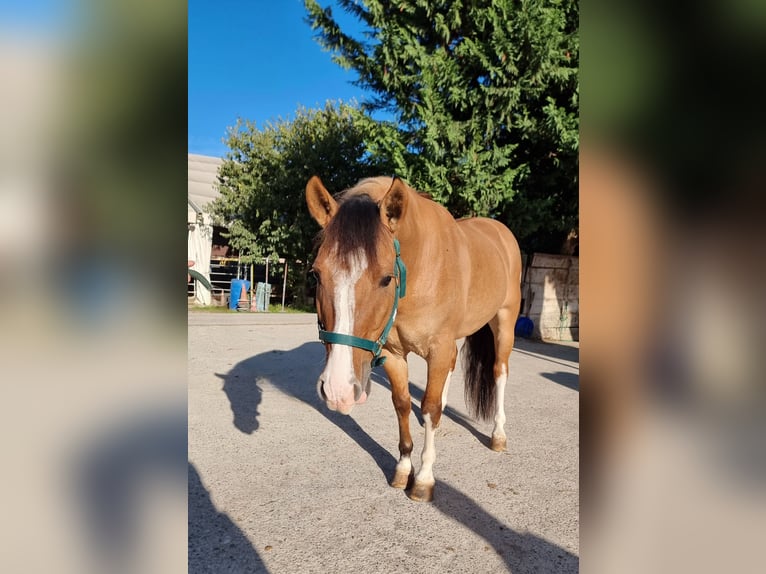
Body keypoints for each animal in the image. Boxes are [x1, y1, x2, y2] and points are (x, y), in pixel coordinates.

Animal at [306, 175, 522, 502]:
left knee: (499, 372)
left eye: (386, 278)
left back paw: (498, 434)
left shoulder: (438, 347)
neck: (420, 269)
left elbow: (429, 408)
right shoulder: (394, 353)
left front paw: (423, 479)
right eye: (317, 275)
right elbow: (403, 404)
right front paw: (403, 468)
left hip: (504, 323)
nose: (337, 390)